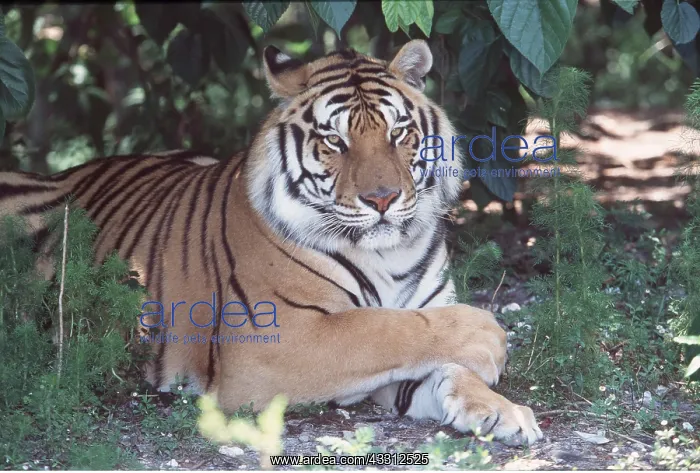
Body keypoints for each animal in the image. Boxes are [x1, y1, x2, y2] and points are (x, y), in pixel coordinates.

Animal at [0, 40, 542, 446]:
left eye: (398, 133)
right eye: (335, 141)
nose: (382, 198)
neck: (391, 252)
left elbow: (435, 356)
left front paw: (503, 411)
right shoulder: (272, 339)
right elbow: (385, 328)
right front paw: (488, 338)